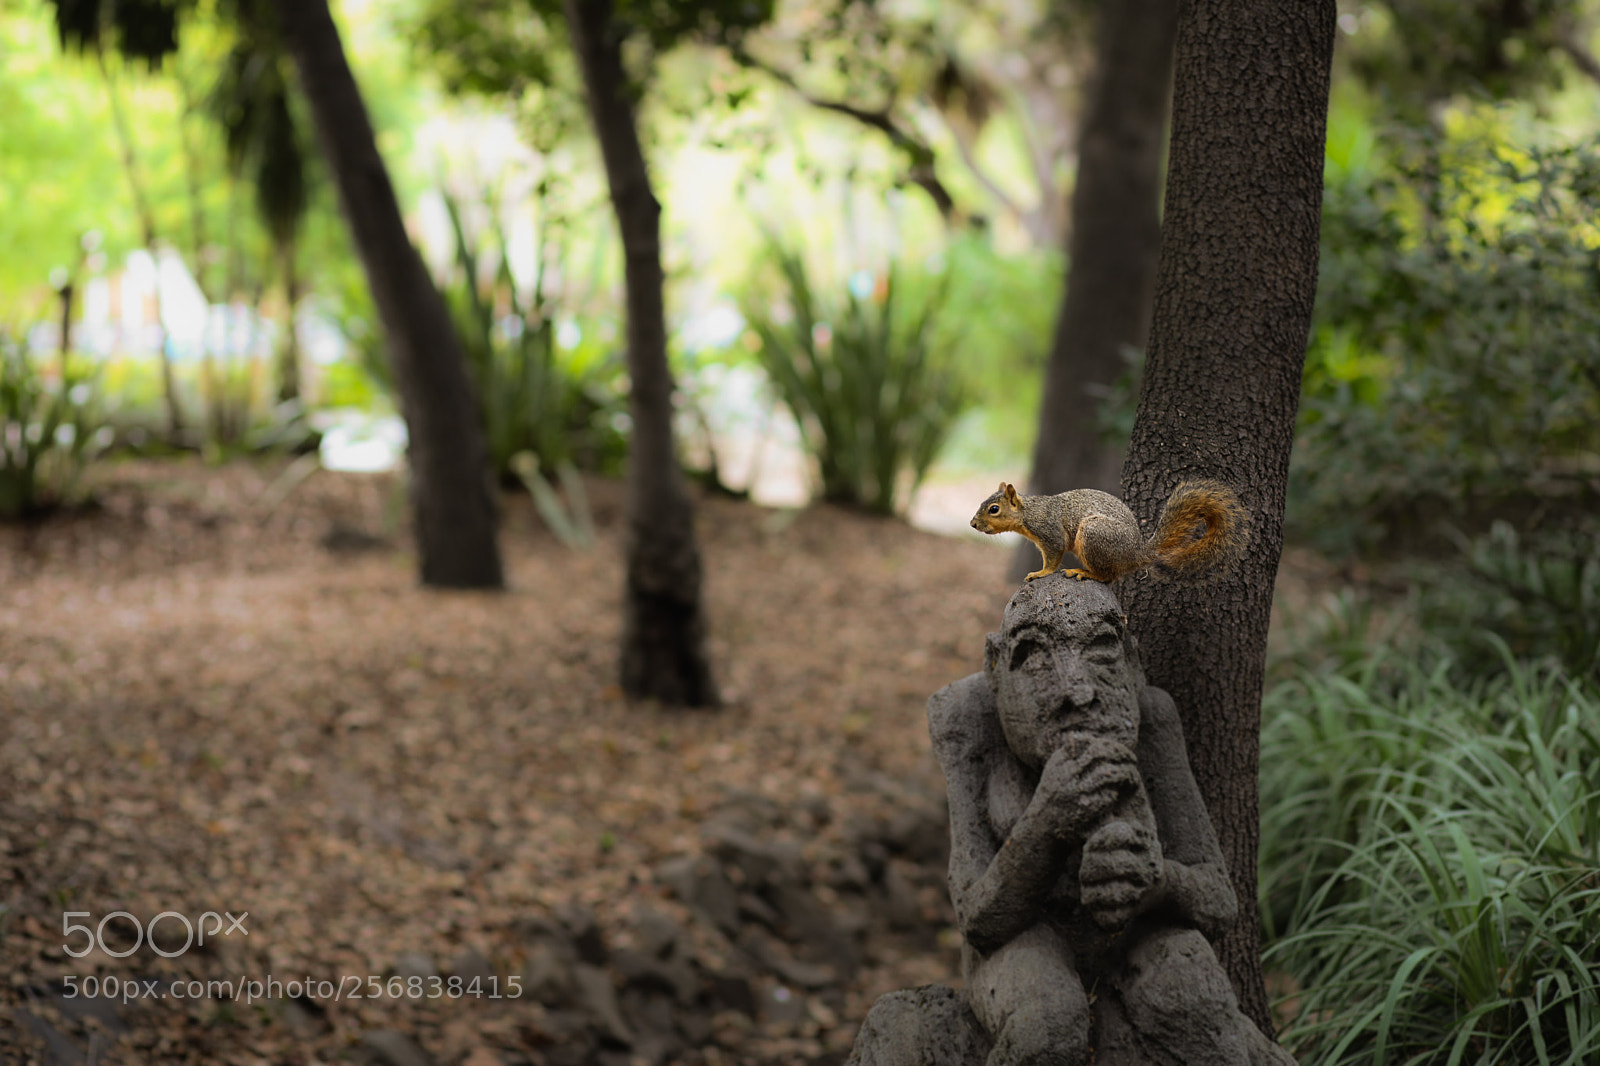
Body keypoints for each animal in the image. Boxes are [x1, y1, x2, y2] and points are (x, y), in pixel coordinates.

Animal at [969, 480, 1250, 584]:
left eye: (994, 509)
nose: (972, 524)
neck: (1028, 513)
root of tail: (1136, 554)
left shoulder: (1050, 533)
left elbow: (1053, 558)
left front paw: (1040, 573)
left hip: (1094, 535)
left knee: (1108, 577)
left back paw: (1084, 572)